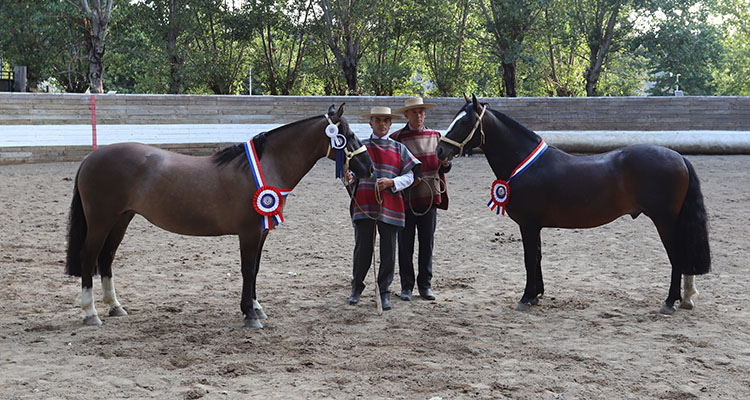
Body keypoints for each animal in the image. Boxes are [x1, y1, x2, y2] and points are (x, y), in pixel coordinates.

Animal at [64, 104, 374, 326]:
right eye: (347, 136)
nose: (370, 167)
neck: (264, 167)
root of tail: (91, 158)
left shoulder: (261, 232)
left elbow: (256, 269)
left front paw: (256, 307)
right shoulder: (249, 232)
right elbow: (248, 269)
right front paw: (249, 314)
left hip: (121, 219)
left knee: (106, 259)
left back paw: (115, 307)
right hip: (101, 222)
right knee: (89, 258)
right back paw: (91, 313)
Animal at [434, 95, 712, 314]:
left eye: (465, 122)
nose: (439, 152)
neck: (526, 164)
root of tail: (678, 157)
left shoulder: (528, 224)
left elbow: (529, 258)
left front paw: (526, 297)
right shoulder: (535, 226)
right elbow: (537, 256)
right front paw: (536, 295)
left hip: (664, 221)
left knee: (676, 256)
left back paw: (669, 302)